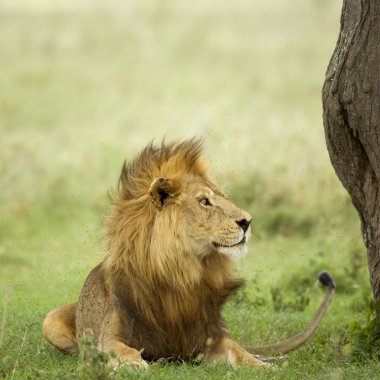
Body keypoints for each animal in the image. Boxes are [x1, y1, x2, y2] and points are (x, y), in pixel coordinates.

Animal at [42, 140, 336, 368]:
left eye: (223, 197)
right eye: (205, 201)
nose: (247, 221)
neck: (181, 272)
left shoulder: (207, 338)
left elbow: (238, 350)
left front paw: (263, 367)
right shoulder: (110, 335)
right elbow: (120, 348)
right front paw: (134, 363)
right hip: (50, 321)